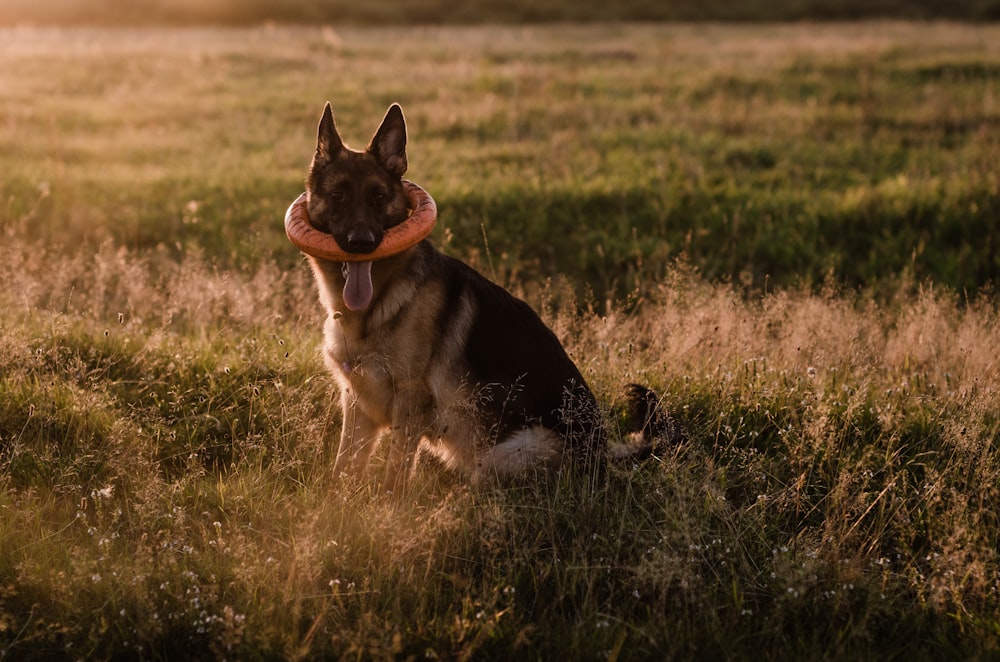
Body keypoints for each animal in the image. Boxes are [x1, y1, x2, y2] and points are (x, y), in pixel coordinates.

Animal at [300, 104, 676, 492]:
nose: (361, 243)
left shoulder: (409, 403)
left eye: (378, 197)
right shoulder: (358, 405)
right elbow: (343, 467)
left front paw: (387, 505)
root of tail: (601, 453)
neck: (376, 308)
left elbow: (395, 475)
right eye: (339, 195)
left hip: (502, 457)